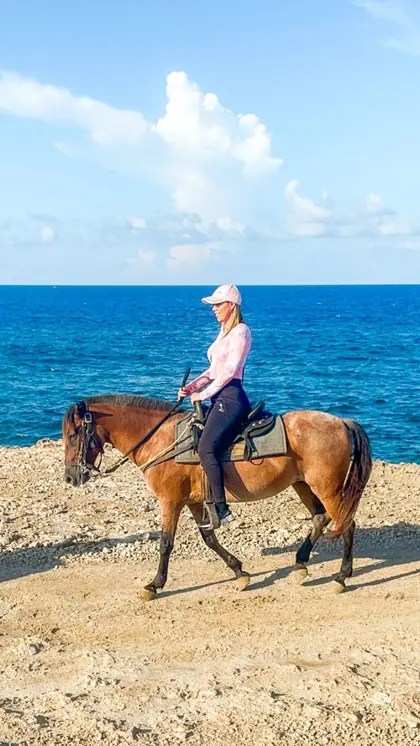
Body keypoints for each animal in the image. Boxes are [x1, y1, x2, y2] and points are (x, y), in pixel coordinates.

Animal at [62, 394, 372, 600]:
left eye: (73, 435)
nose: (70, 477)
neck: (162, 440)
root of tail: (343, 422)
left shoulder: (171, 501)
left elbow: (165, 544)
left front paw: (154, 584)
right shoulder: (194, 501)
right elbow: (209, 538)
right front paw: (239, 572)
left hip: (328, 489)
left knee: (346, 525)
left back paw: (341, 577)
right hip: (303, 485)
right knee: (320, 518)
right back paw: (300, 564)